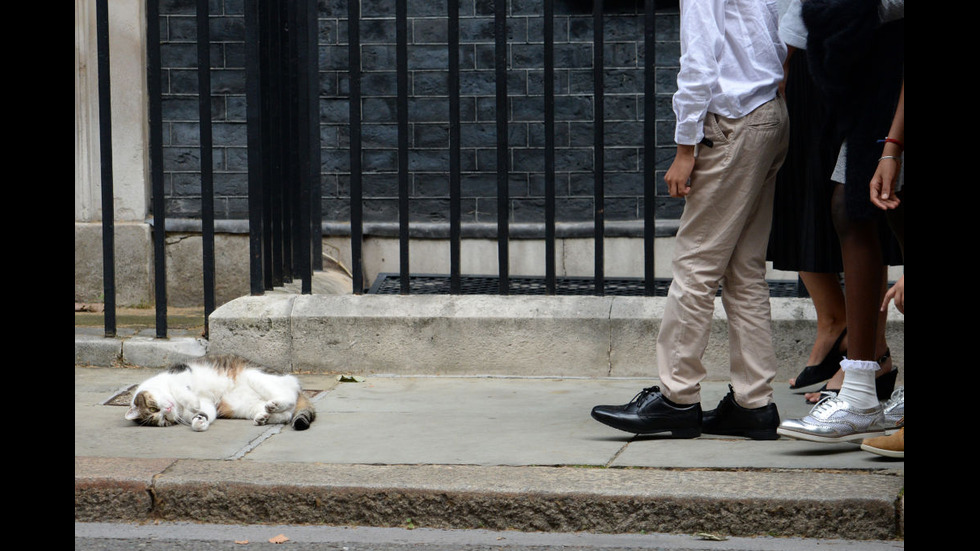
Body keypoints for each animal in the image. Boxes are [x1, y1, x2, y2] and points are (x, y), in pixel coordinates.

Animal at [122, 356, 314, 434]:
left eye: (154, 407)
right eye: (164, 420)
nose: (167, 410)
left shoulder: (180, 373)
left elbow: (182, 390)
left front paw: (193, 402)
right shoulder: (208, 405)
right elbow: (205, 412)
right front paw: (199, 422)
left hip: (255, 376)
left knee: (289, 398)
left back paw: (276, 404)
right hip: (240, 406)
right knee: (286, 414)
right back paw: (264, 417)